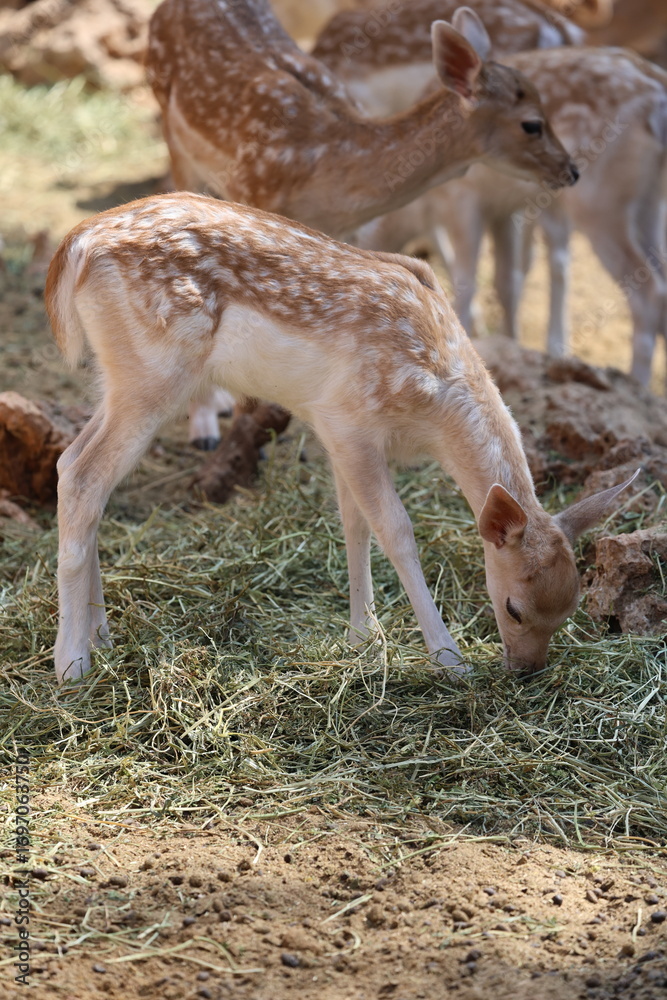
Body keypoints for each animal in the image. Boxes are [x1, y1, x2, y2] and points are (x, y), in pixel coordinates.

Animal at [45, 194, 637, 685]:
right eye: (514, 606)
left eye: (571, 608)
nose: (526, 670)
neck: (432, 409)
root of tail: (75, 244)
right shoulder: (348, 422)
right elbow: (396, 531)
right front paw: (449, 659)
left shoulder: (337, 436)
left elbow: (355, 526)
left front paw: (363, 636)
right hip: (155, 373)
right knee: (83, 478)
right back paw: (72, 665)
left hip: (121, 378)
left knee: (72, 464)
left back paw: (101, 635)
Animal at [146, 0, 577, 450]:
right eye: (532, 123)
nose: (571, 170)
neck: (328, 174)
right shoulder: (253, 198)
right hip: (172, 132)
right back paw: (205, 423)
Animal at [351, 47, 667, 388]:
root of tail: (656, 98)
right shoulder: (501, 210)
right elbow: (507, 280)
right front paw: (509, 345)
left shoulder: (463, 200)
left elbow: (465, 281)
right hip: (650, 200)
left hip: (601, 201)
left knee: (648, 291)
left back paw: (637, 382)